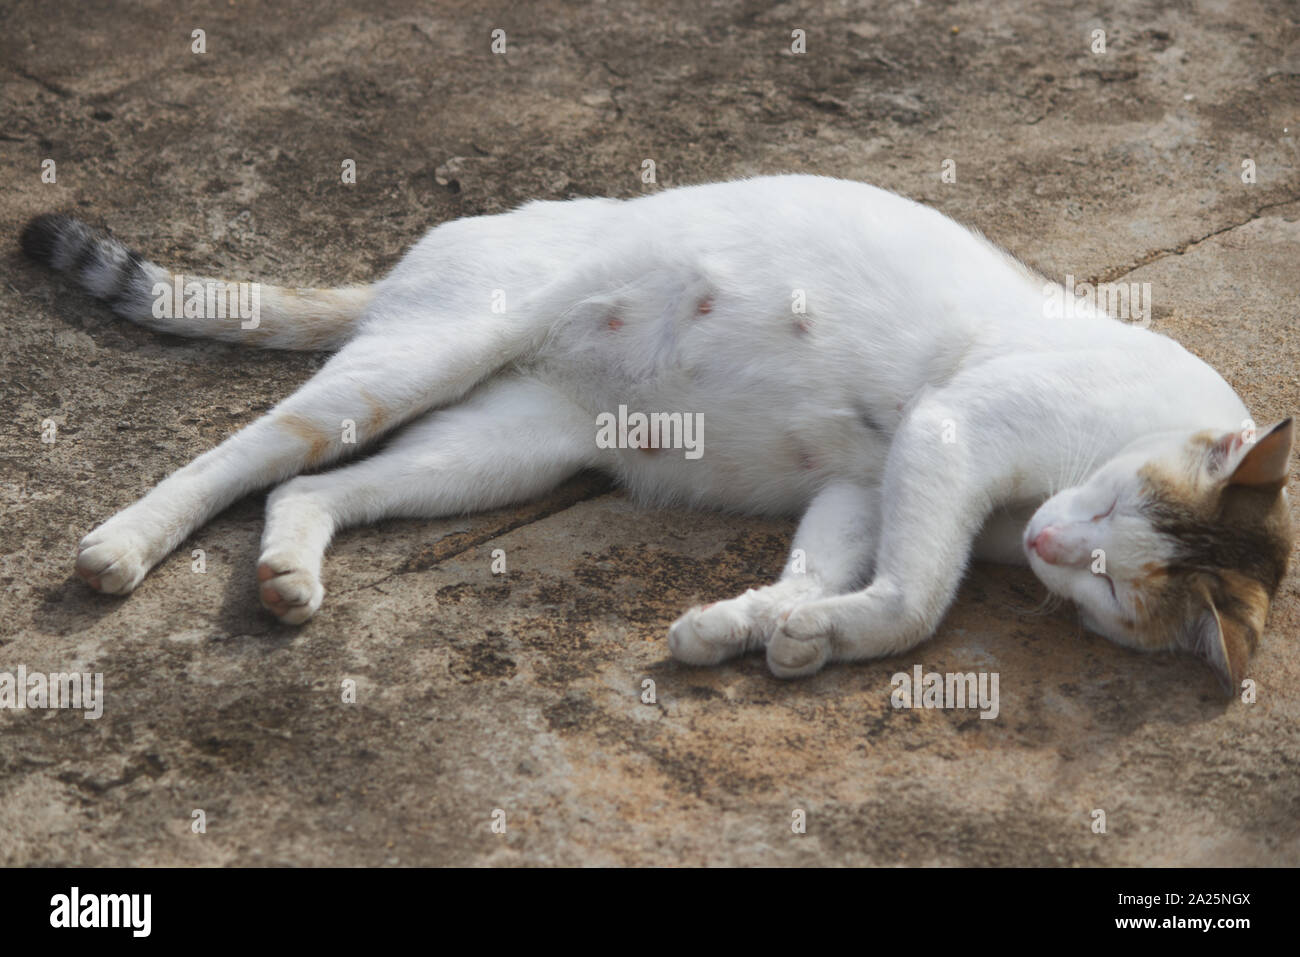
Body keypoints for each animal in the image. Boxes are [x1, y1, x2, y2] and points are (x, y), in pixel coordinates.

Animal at [20, 175, 1289, 691]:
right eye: (1114, 517)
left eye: (1112, 591)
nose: (1049, 549)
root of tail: (408, 262)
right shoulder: (950, 430)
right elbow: (917, 599)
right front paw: (821, 633)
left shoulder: (865, 481)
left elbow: (821, 569)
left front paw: (761, 627)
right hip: (425, 357)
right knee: (257, 450)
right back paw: (122, 546)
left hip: (500, 449)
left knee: (314, 491)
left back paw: (287, 573)